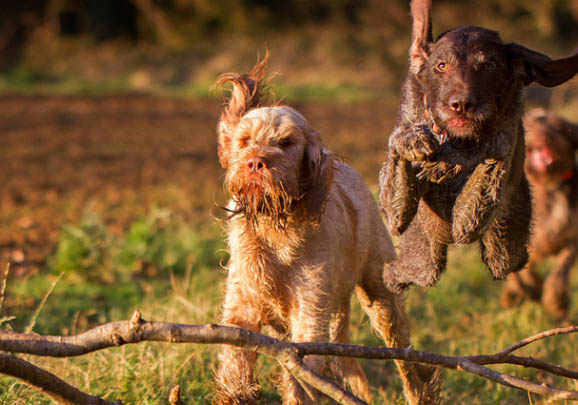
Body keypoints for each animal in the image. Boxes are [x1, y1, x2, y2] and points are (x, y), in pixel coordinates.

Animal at [214, 56, 434, 404]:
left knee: (408, 364)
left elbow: (300, 381)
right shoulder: (242, 309)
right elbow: (236, 370)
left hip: (382, 299)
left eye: (287, 142)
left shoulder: (309, 316)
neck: (276, 228)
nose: (255, 162)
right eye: (244, 140)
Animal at [378, 0, 576, 292]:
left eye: (489, 65)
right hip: (423, 260)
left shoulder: (468, 221)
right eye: (441, 65)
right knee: (395, 271)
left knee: (515, 259)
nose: (461, 104)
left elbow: (496, 149)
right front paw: (411, 139)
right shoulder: (397, 213)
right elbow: (394, 209)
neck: (457, 140)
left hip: (506, 245)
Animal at [500, 109, 576, 318]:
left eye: (558, 128)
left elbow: (560, 270)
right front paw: (533, 287)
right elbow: (526, 271)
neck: (548, 185)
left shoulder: (571, 239)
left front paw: (555, 301)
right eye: (532, 125)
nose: (544, 138)